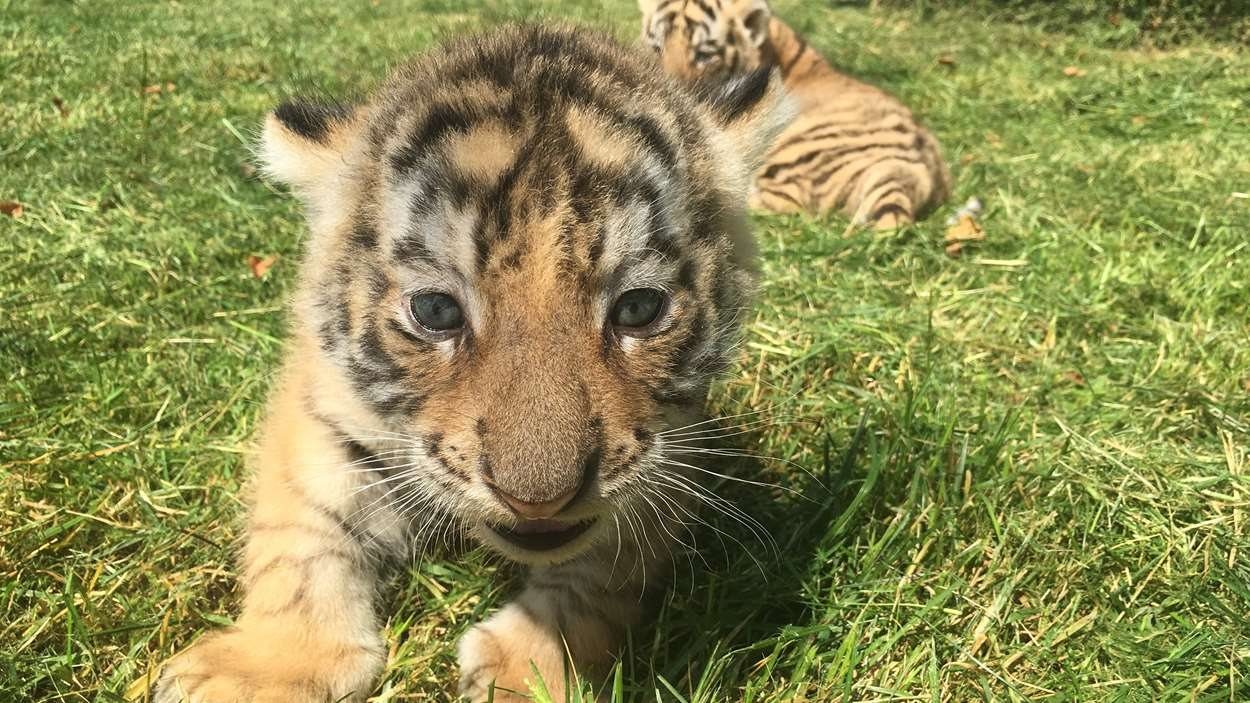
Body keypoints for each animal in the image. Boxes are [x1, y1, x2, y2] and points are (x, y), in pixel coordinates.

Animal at [151, 24, 792, 703]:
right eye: (436, 311)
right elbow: (300, 537)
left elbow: (599, 574)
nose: (536, 502)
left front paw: (530, 667)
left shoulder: (671, 454)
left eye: (639, 308)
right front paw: (270, 667)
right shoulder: (319, 409)